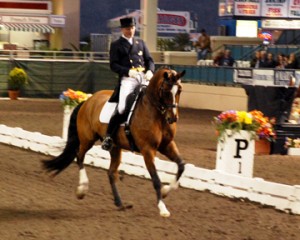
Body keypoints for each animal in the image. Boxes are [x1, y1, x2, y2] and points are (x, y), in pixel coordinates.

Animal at [42, 66, 185, 217]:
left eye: (179, 90)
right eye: (166, 91)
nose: (172, 118)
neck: (157, 114)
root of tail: (88, 101)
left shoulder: (167, 145)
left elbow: (181, 165)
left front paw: (166, 191)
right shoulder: (147, 150)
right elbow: (156, 179)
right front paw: (163, 208)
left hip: (115, 147)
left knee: (111, 173)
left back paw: (120, 203)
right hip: (87, 139)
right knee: (79, 157)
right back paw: (82, 189)